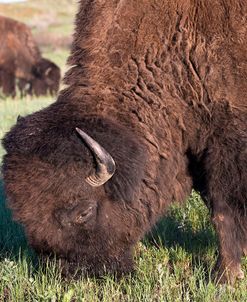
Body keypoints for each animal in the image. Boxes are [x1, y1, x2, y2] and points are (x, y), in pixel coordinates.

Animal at [1, 0, 247, 286]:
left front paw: (224, 277)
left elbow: (223, 212)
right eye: (24, 218)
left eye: (83, 212)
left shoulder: (225, 146)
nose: (75, 276)